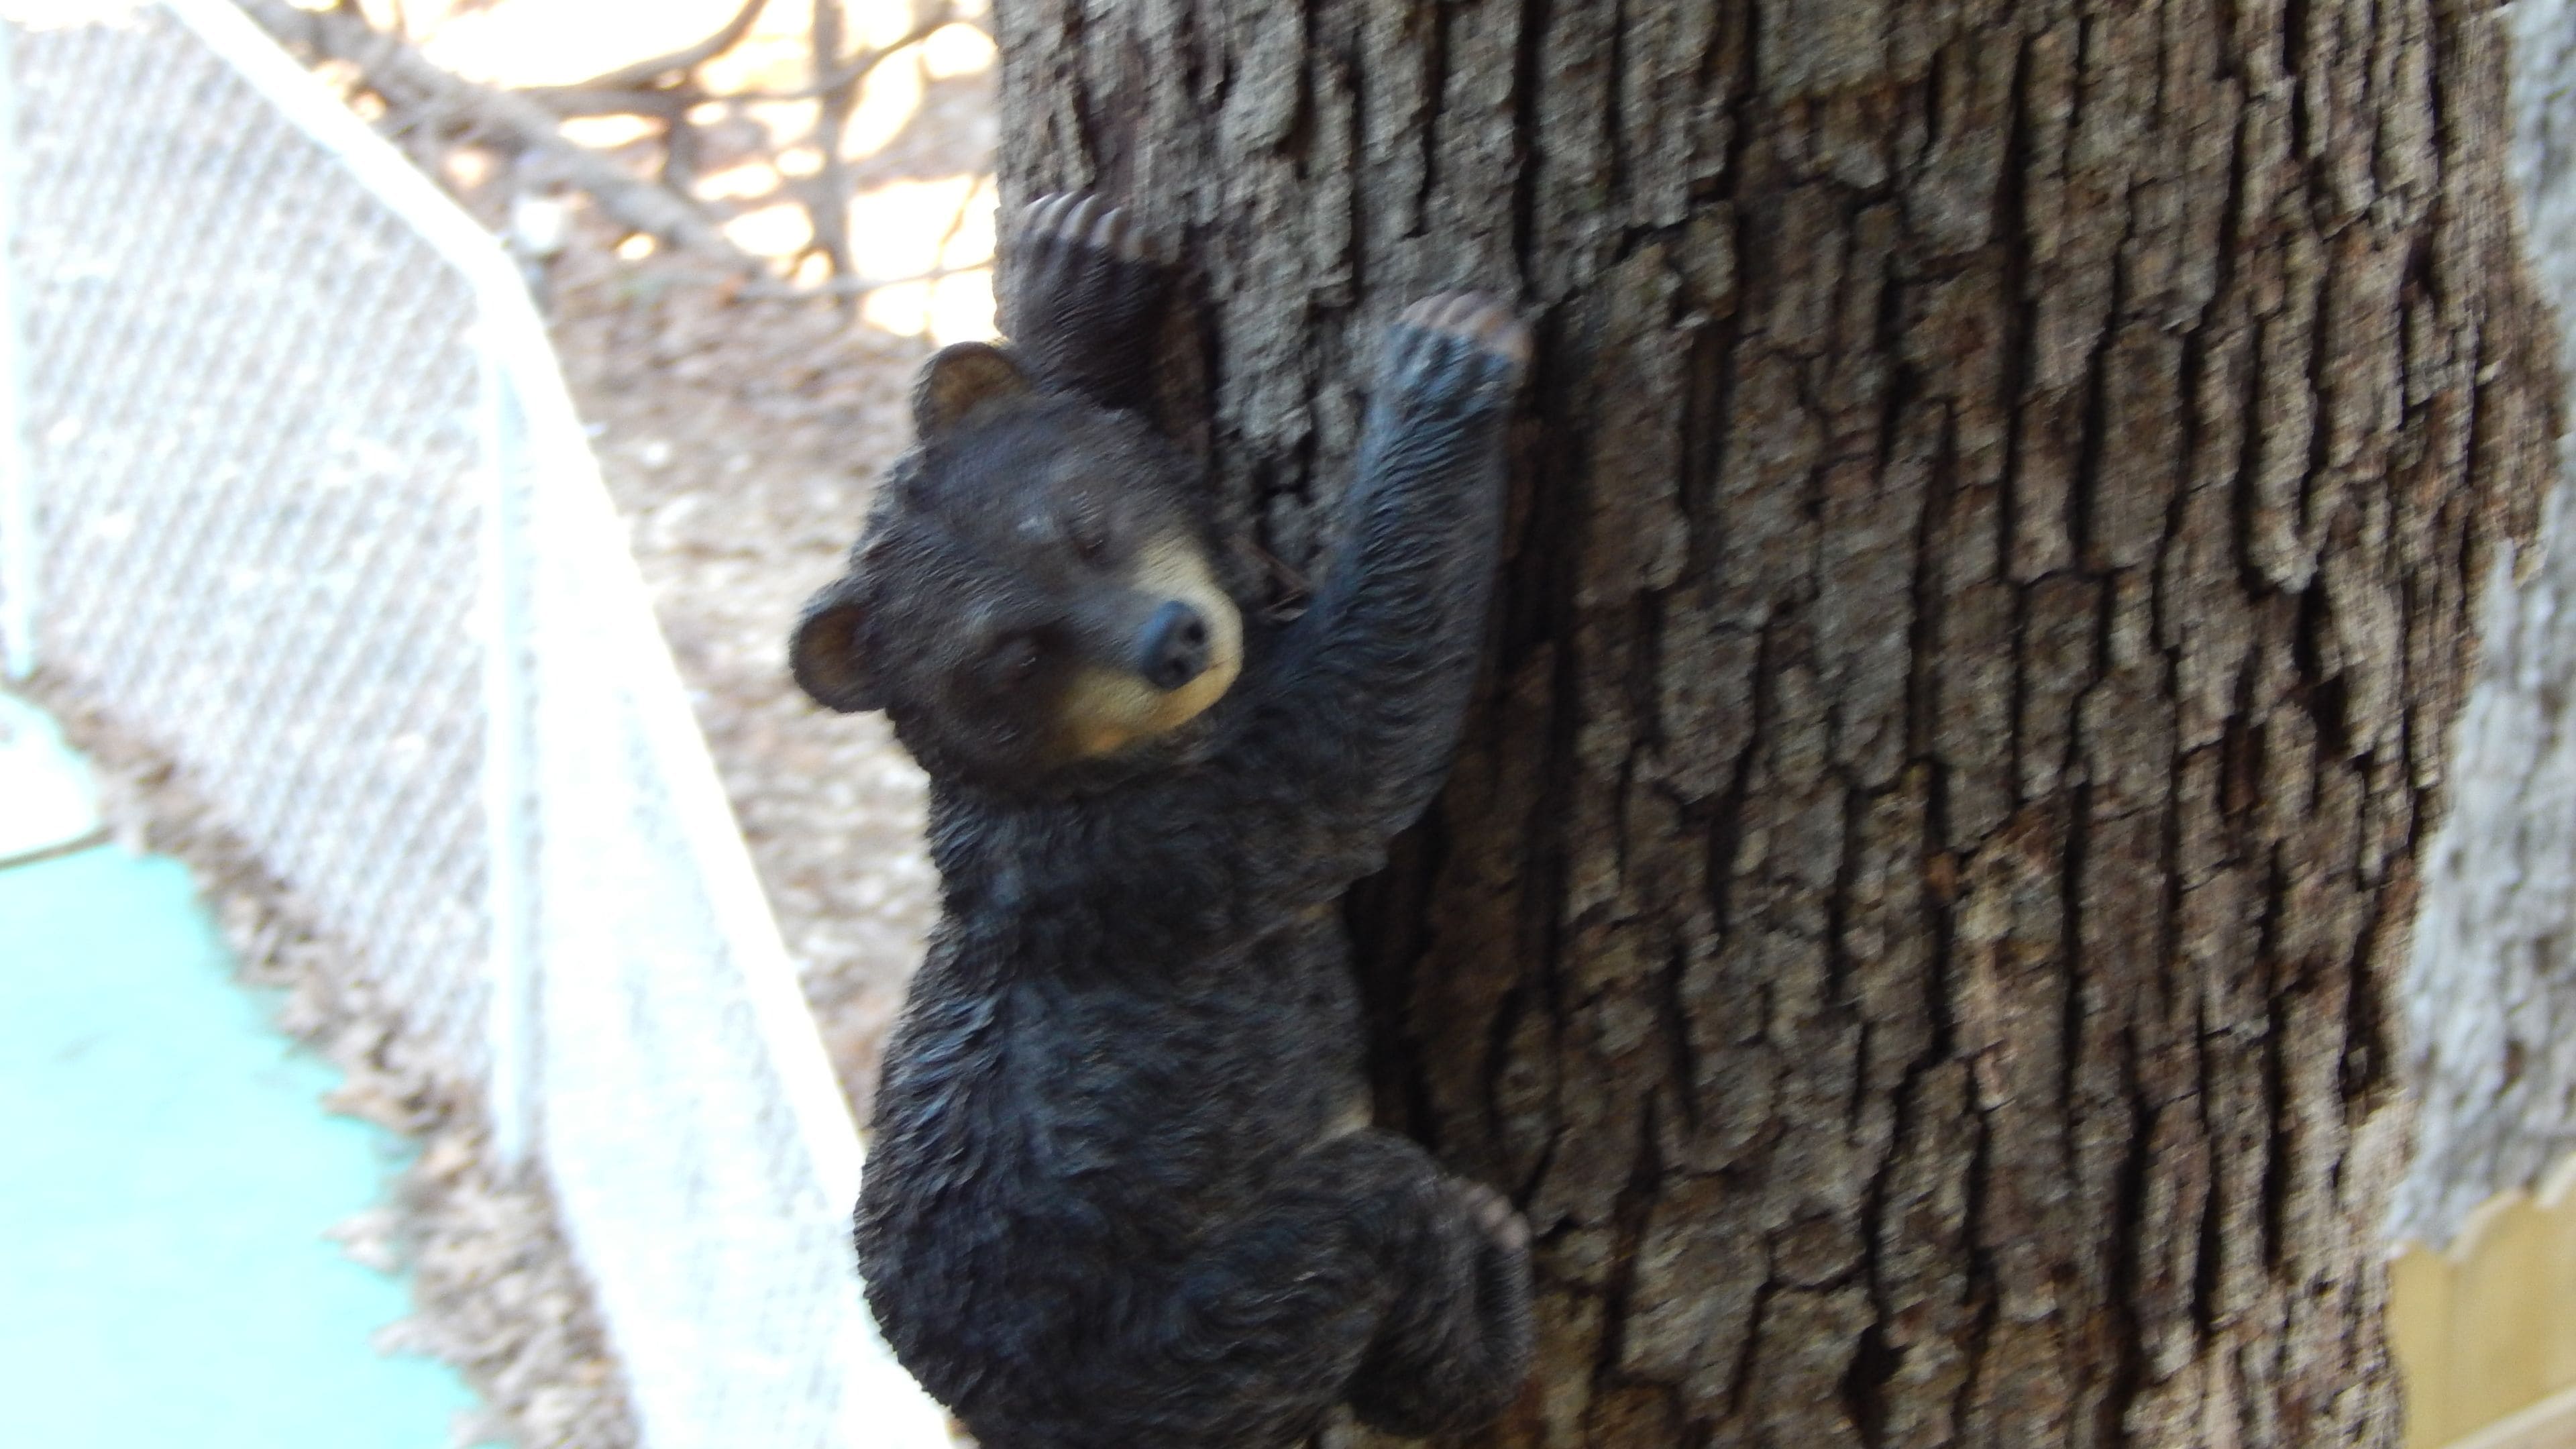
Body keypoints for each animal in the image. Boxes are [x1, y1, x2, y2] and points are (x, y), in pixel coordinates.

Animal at [790, 191, 1535, 1448]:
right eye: (1014, 653)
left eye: (1087, 527)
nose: (1173, 640)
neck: (1079, 773)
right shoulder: (1160, 849)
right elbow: (1365, 730)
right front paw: (1446, 364)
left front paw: (1077, 275)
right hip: (1182, 1336)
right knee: (1371, 1234)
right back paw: (1490, 1300)